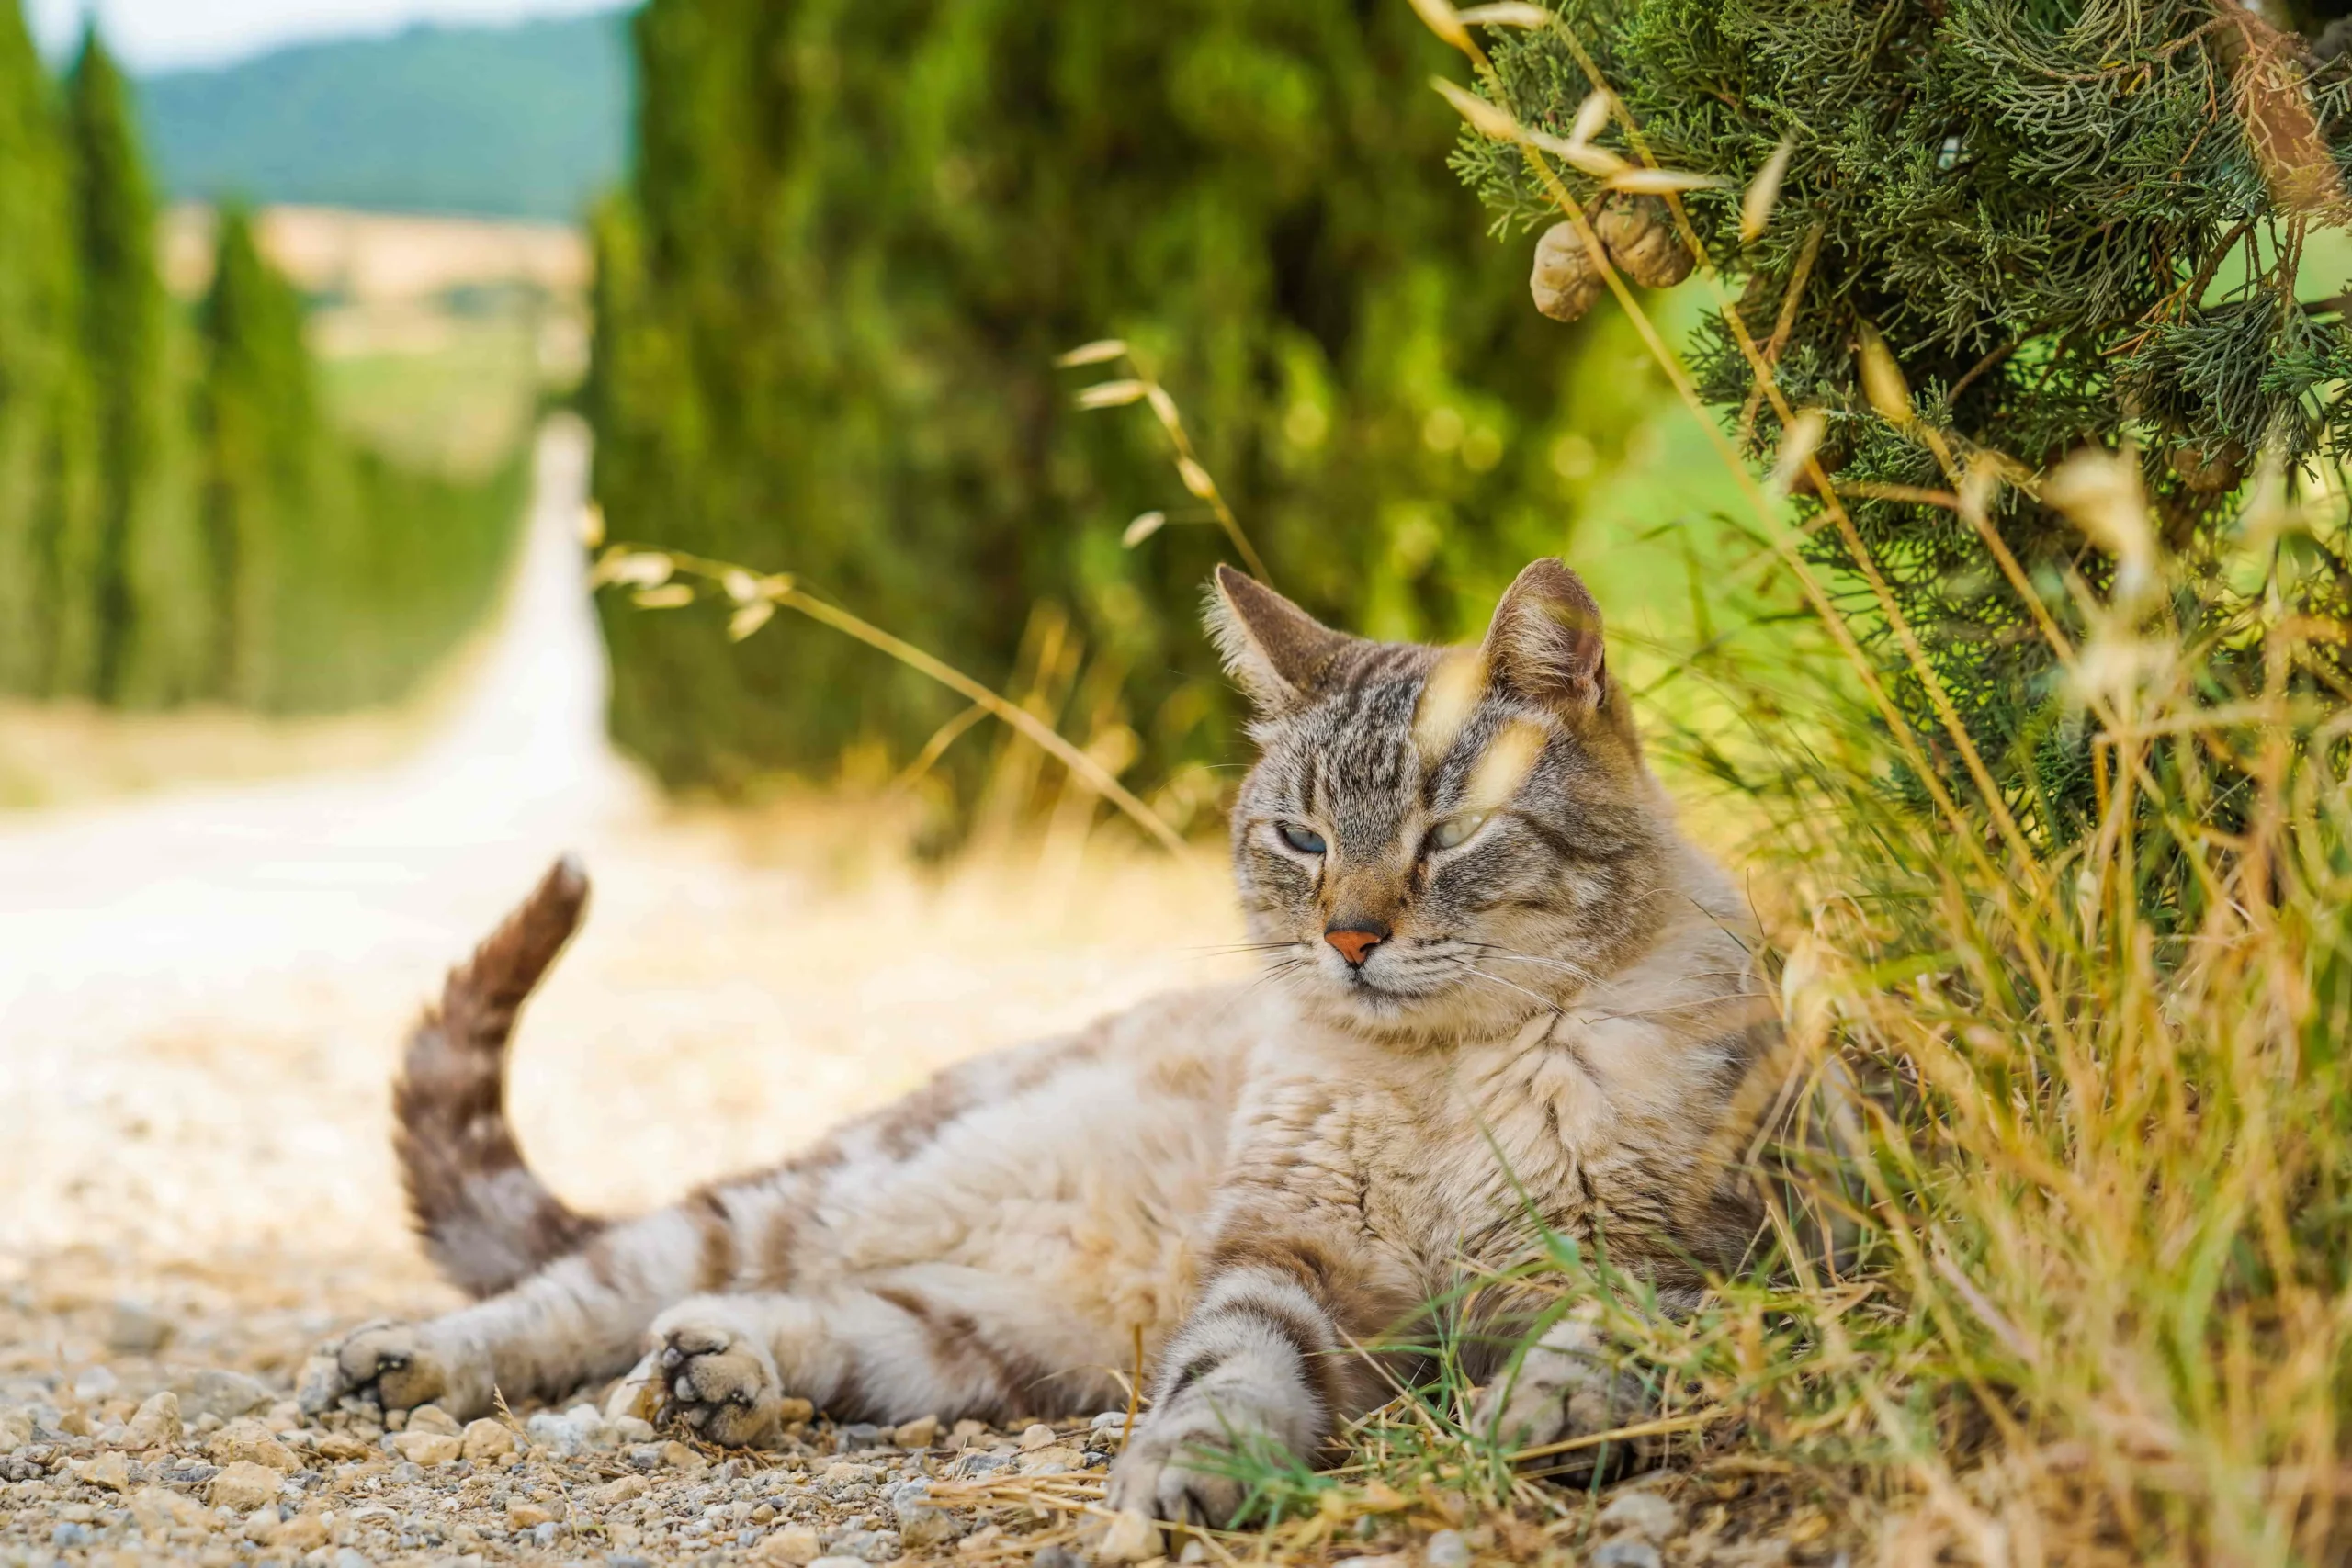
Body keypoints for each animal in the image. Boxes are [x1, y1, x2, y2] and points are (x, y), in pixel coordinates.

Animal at [299, 564, 1769, 1532]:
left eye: (1449, 832)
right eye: (1299, 837)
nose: (1350, 936)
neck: (1443, 1083)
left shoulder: (1698, 1252)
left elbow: (1617, 1328)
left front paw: (1547, 1415)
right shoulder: (1280, 1275)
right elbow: (1224, 1385)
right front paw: (1190, 1482)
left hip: (994, 1340)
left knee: (810, 1316)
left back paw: (716, 1378)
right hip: (820, 1198)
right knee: (591, 1292)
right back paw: (402, 1367)